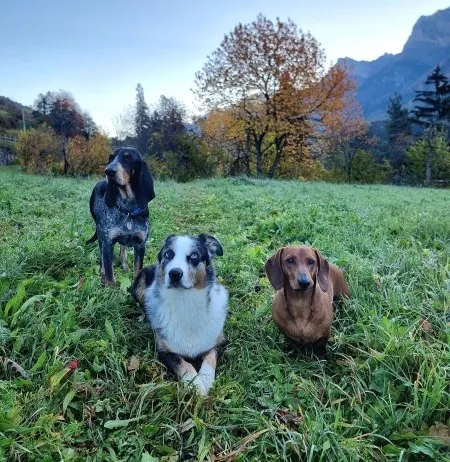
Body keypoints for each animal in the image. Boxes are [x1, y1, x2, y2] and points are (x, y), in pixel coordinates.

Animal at [87, 147, 155, 286]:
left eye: (128, 158)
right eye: (111, 158)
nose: (108, 171)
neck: (128, 210)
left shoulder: (140, 245)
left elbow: (138, 270)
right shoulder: (108, 243)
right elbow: (109, 274)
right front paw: (110, 287)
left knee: (122, 249)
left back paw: (125, 266)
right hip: (101, 235)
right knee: (101, 254)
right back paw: (102, 270)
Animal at [131, 234, 228, 396]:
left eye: (194, 255)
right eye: (168, 254)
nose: (174, 273)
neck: (186, 302)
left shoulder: (219, 343)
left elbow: (210, 358)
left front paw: (206, 379)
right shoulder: (164, 352)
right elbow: (184, 364)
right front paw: (196, 385)